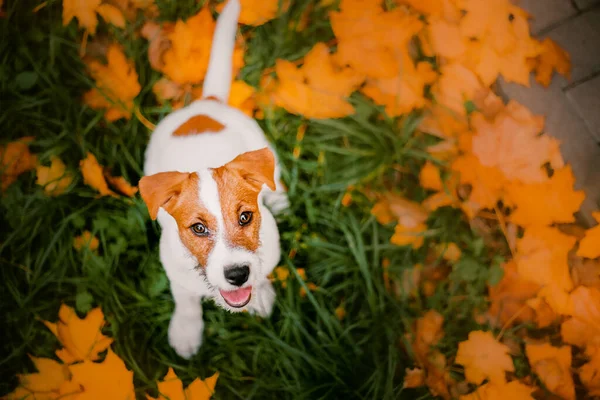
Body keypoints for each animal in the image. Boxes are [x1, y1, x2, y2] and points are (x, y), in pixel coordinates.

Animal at [139, 0, 288, 360]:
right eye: (198, 228)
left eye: (246, 217)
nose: (237, 274)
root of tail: (207, 103)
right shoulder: (176, 274)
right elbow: (186, 301)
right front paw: (185, 332)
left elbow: (263, 273)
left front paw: (261, 293)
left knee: (274, 176)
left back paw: (279, 198)